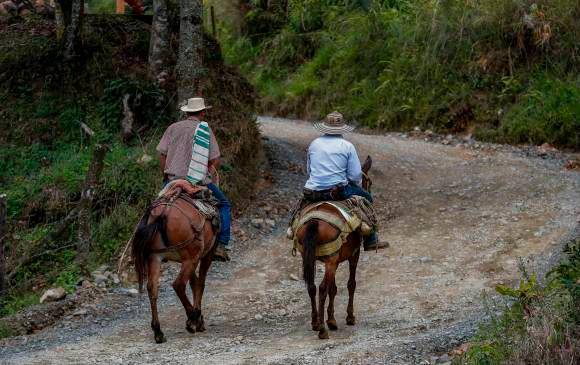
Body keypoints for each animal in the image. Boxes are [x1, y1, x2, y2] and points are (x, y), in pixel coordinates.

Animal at [131, 192, 218, 342]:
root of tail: (164, 213)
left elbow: (194, 283)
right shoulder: (206, 254)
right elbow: (200, 284)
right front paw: (198, 319)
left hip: (155, 257)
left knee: (152, 288)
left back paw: (158, 331)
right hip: (190, 257)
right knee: (179, 284)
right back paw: (192, 318)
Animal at [296, 156, 374, 338]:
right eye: (368, 182)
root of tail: (315, 220)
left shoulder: (335, 260)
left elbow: (334, 288)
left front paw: (331, 320)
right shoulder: (353, 255)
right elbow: (350, 284)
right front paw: (349, 317)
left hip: (310, 256)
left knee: (312, 286)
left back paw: (316, 323)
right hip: (331, 261)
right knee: (322, 288)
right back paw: (322, 330)